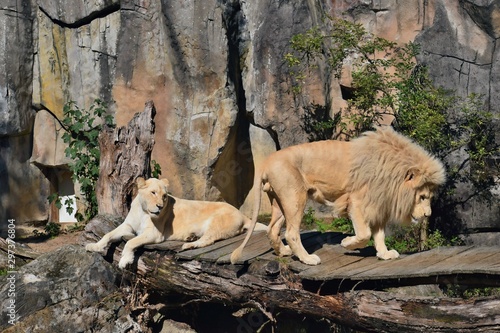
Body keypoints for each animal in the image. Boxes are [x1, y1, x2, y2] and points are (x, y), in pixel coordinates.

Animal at [86, 176, 260, 268]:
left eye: (164, 196)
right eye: (153, 193)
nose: (160, 206)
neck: (143, 211)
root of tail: (243, 215)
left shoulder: (154, 234)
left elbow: (130, 242)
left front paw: (124, 260)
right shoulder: (127, 226)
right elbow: (108, 234)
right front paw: (94, 246)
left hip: (216, 221)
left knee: (208, 240)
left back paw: (189, 244)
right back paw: (190, 237)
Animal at [230, 126, 446, 266]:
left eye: (428, 196)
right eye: (423, 197)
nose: (428, 215)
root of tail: (266, 162)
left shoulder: (378, 204)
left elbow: (379, 234)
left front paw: (384, 254)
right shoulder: (357, 202)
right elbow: (365, 234)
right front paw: (347, 243)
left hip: (280, 202)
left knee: (272, 229)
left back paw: (284, 252)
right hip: (295, 198)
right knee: (291, 233)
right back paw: (307, 259)